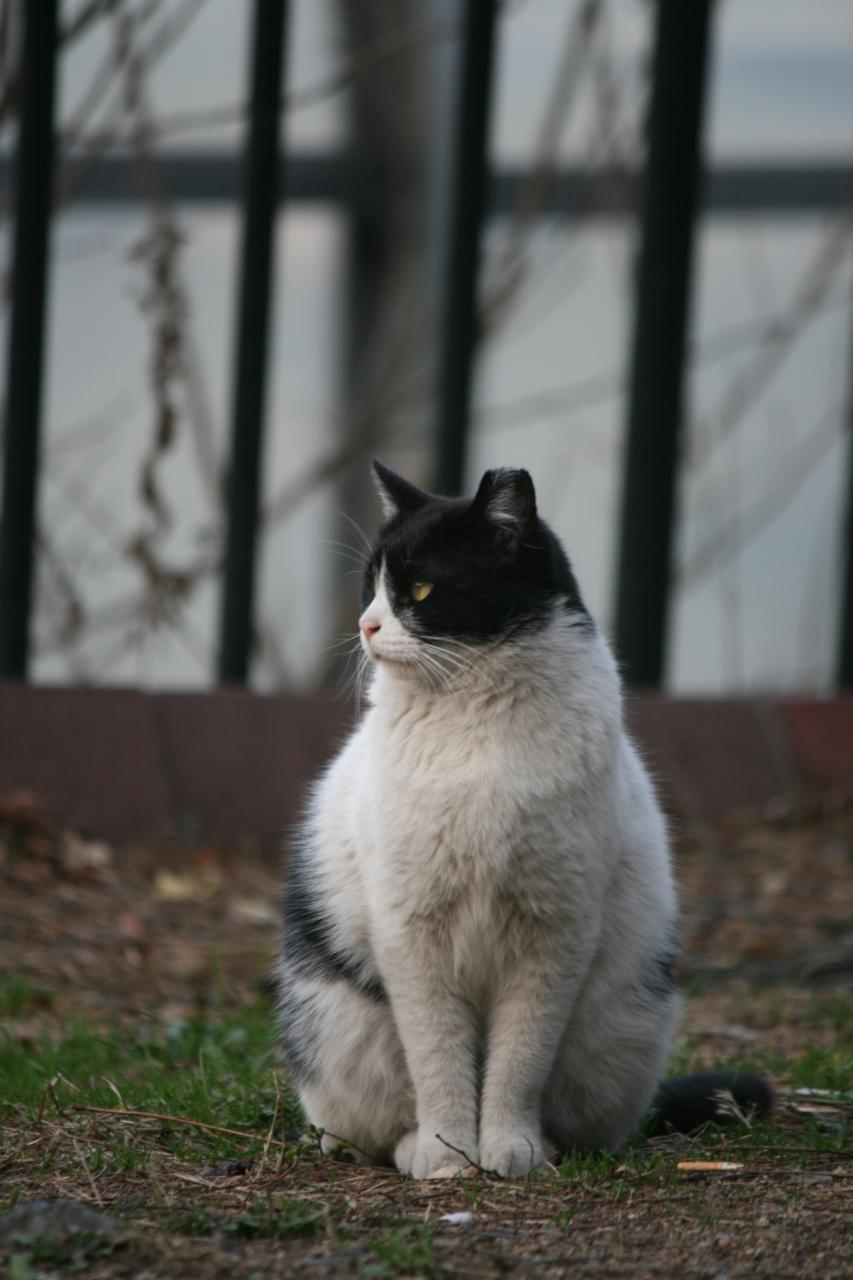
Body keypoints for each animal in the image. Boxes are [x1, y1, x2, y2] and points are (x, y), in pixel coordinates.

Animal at [275, 463, 768, 1177]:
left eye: (418, 589)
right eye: (372, 586)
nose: (366, 625)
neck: (477, 717)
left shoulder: (553, 933)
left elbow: (519, 1060)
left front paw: (510, 1151)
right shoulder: (412, 932)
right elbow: (437, 1058)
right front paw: (449, 1157)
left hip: (621, 1026)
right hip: (341, 1028)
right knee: (364, 1124)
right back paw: (411, 1148)